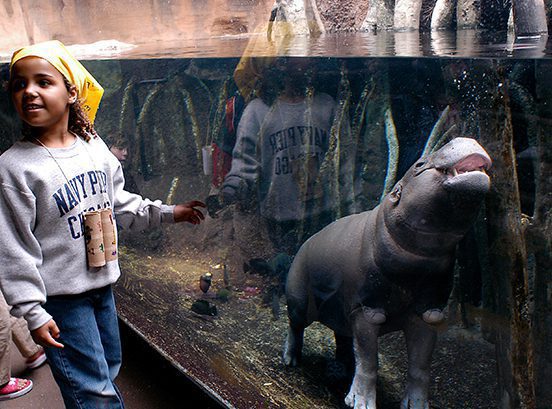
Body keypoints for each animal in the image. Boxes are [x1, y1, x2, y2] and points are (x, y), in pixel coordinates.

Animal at [284, 137, 492, 408]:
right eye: (419, 163)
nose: (464, 138)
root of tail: (306, 241)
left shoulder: (428, 312)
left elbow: (420, 368)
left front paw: (417, 405)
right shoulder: (368, 310)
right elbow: (369, 362)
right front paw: (360, 403)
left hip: (341, 309)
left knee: (343, 338)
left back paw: (340, 371)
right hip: (299, 298)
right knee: (295, 326)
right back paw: (290, 361)